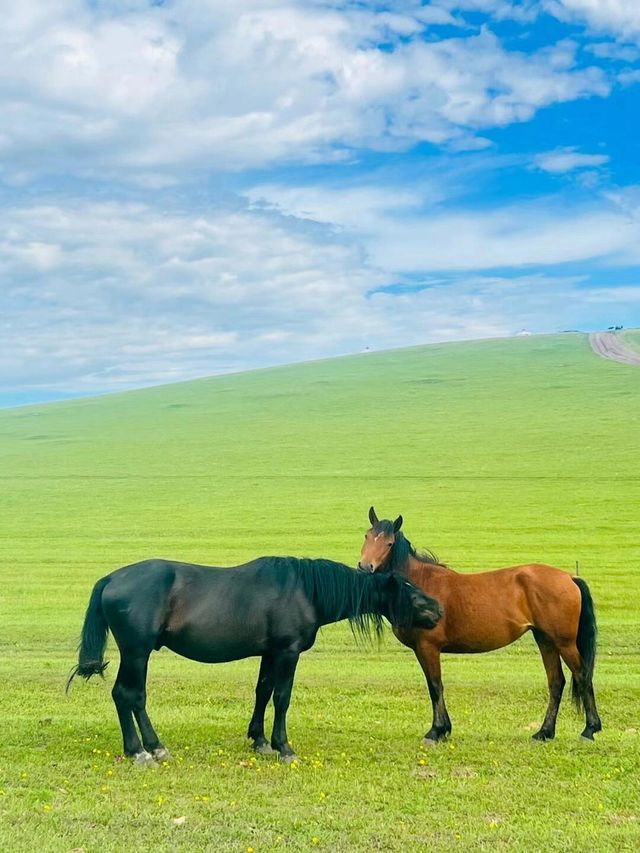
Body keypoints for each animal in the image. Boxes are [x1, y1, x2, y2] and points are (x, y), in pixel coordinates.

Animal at [67, 556, 442, 764]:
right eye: (409, 590)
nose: (439, 609)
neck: (305, 591)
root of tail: (111, 579)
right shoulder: (288, 652)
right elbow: (282, 697)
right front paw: (284, 747)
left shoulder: (270, 653)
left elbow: (262, 693)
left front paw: (260, 741)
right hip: (136, 653)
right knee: (126, 695)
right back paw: (140, 752)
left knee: (134, 698)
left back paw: (154, 747)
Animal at [358, 510, 604, 744]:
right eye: (367, 536)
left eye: (389, 543)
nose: (364, 567)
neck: (421, 585)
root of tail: (570, 578)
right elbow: (434, 686)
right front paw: (444, 729)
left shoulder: (428, 647)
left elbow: (435, 686)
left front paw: (436, 731)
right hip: (545, 640)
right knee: (556, 682)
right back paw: (544, 732)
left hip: (564, 643)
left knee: (582, 675)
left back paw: (589, 730)